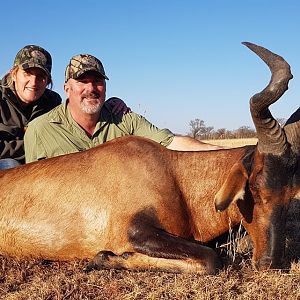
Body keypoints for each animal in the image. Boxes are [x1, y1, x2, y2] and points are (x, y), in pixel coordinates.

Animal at [0, 41, 296, 274]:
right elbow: (211, 258)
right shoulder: (137, 231)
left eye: (291, 193)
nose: (270, 263)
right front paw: (102, 258)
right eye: (254, 189)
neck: (173, 172)